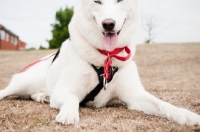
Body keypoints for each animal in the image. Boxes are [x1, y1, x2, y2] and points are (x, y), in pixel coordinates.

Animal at [0, 0, 200, 126]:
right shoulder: (62, 91)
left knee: (35, 94)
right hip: (25, 82)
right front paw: (69, 113)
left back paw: (42, 96)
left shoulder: (135, 96)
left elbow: (162, 104)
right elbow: (72, 98)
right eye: (97, 1)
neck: (106, 58)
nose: (108, 24)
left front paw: (185, 115)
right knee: (8, 90)